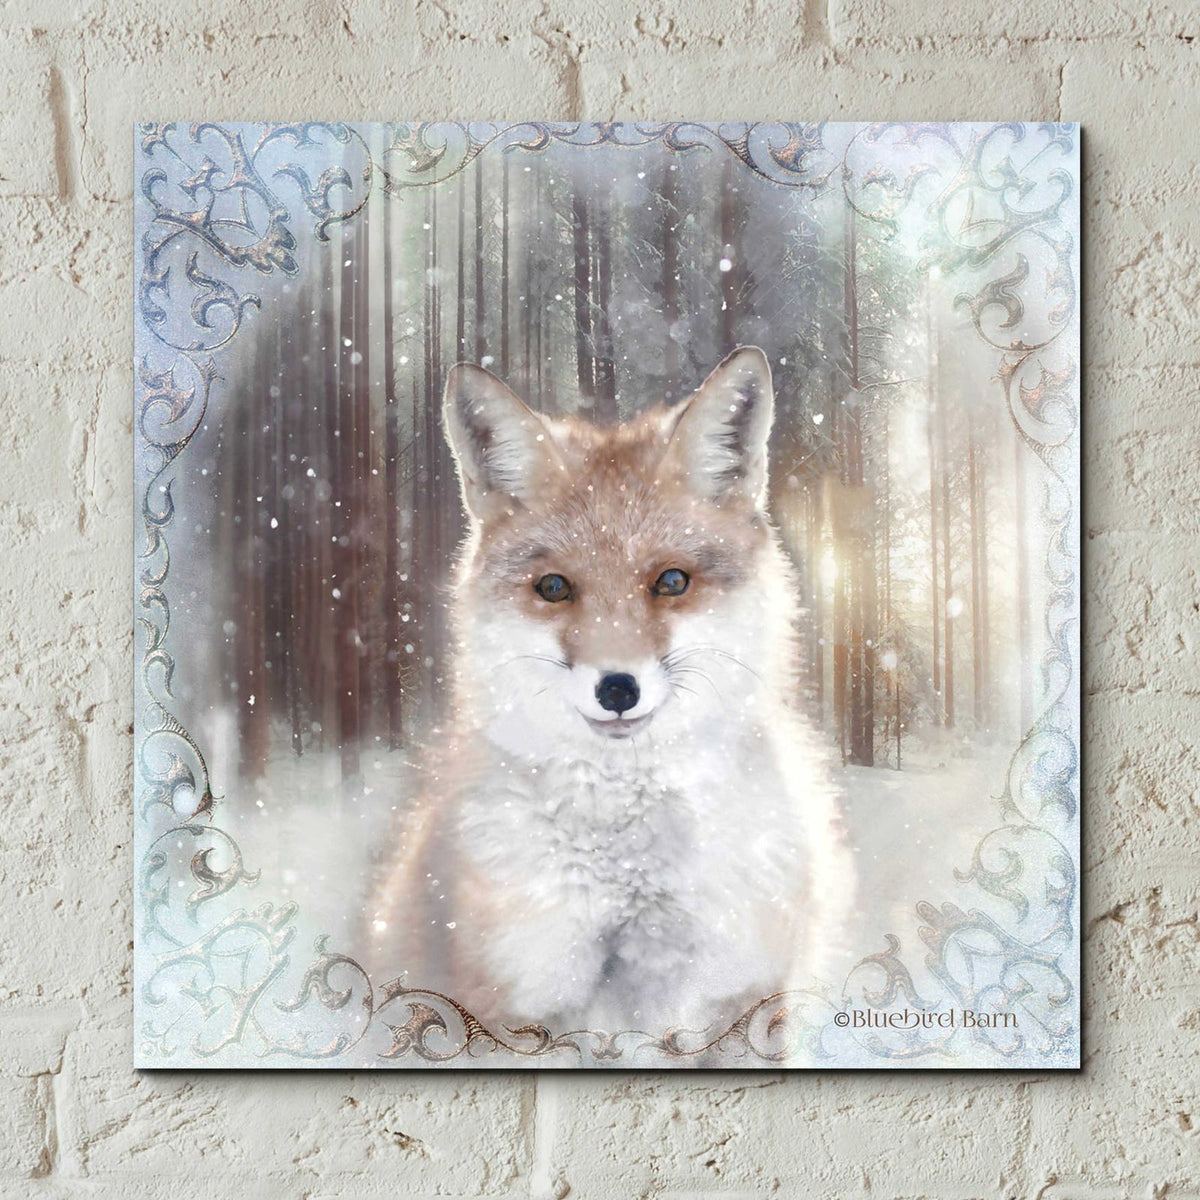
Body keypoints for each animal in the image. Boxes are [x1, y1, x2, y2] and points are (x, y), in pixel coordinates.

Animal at [368, 346, 855, 1037]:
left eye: (672, 581)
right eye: (553, 588)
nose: (618, 689)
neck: (630, 881)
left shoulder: (746, 995)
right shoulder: (516, 1009)